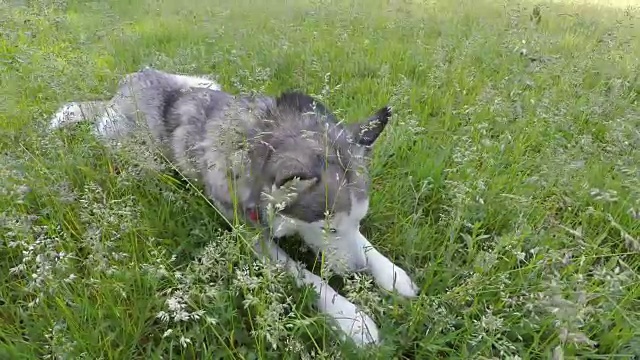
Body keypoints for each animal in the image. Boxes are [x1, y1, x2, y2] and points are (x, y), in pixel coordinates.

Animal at [48, 67, 420, 346]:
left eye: (359, 220)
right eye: (328, 228)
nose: (357, 273)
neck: (253, 144)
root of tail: (125, 84)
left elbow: (367, 246)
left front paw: (392, 274)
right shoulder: (250, 232)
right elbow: (308, 278)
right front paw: (352, 318)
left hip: (204, 82)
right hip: (132, 148)